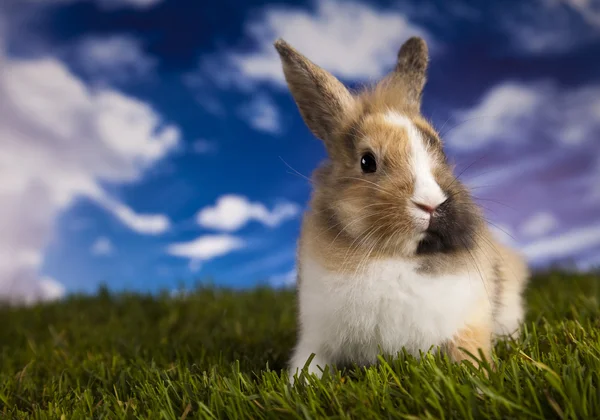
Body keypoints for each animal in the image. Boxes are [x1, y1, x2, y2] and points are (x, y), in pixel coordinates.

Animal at [274, 36, 528, 378]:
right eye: (367, 162)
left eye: (441, 152)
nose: (431, 204)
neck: (395, 257)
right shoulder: (316, 338)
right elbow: (307, 367)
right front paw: (300, 384)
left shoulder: (467, 323)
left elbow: (470, 356)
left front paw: (480, 378)